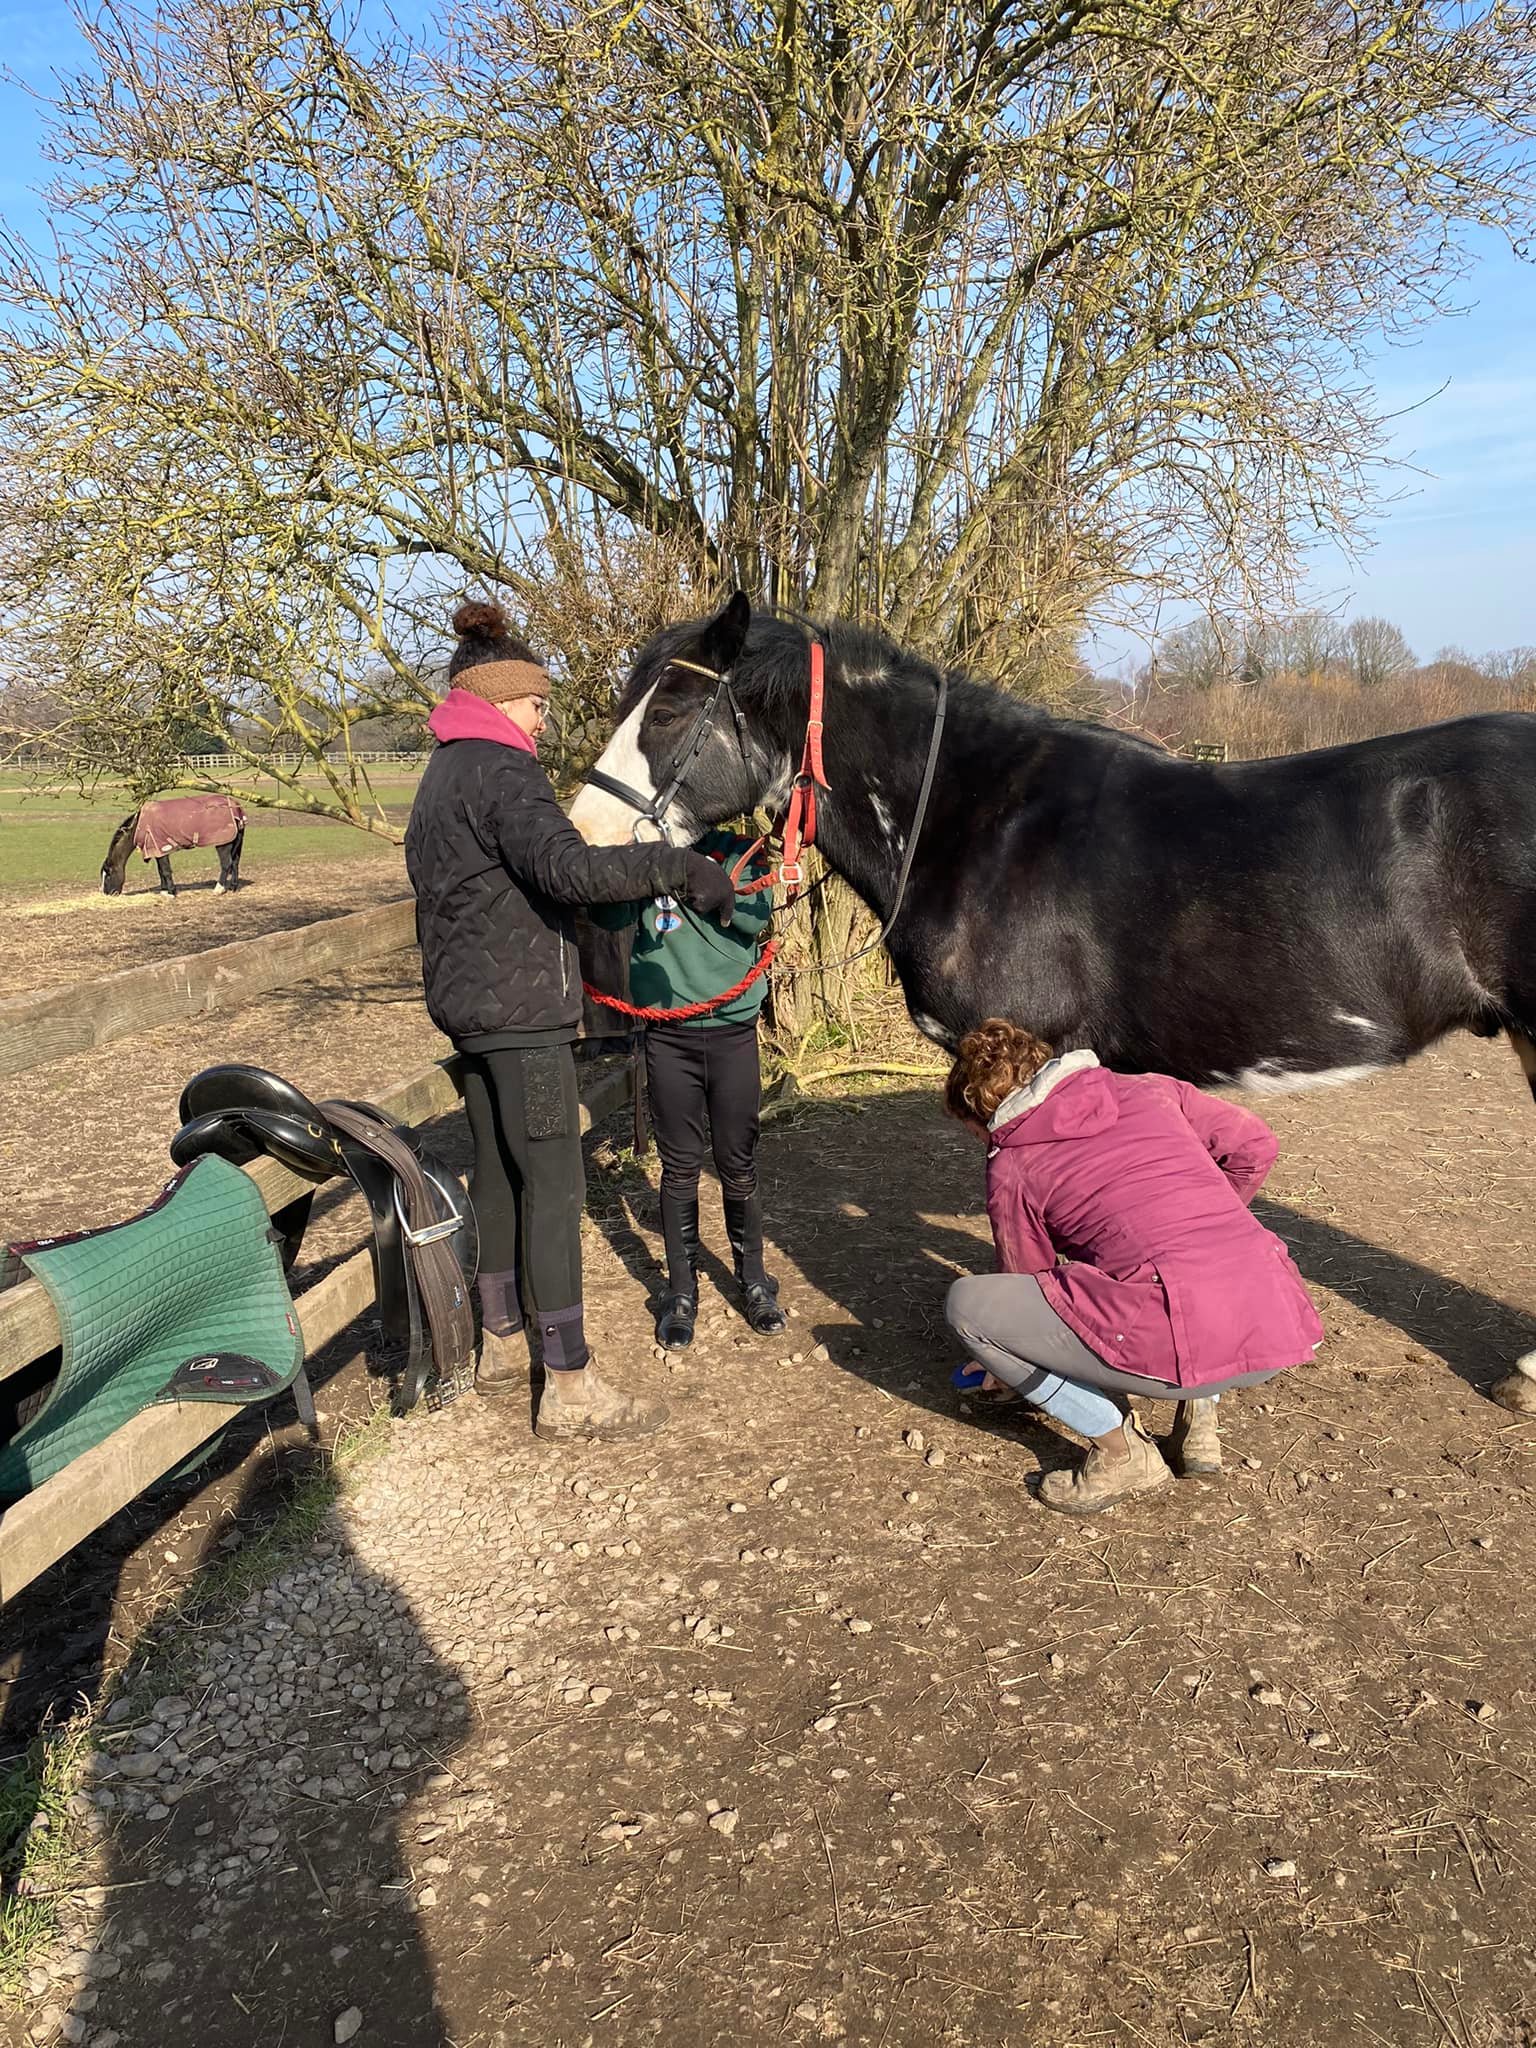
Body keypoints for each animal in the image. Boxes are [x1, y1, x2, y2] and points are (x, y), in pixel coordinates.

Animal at [100, 795, 246, 898]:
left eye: (108, 875)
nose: (107, 893)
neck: (140, 826)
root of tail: (236, 807)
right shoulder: (157, 851)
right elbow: (161, 871)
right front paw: (165, 891)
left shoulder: (161, 848)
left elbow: (165, 870)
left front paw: (171, 892)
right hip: (236, 843)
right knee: (235, 862)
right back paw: (233, 887)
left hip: (223, 843)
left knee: (226, 864)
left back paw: (219, 889)